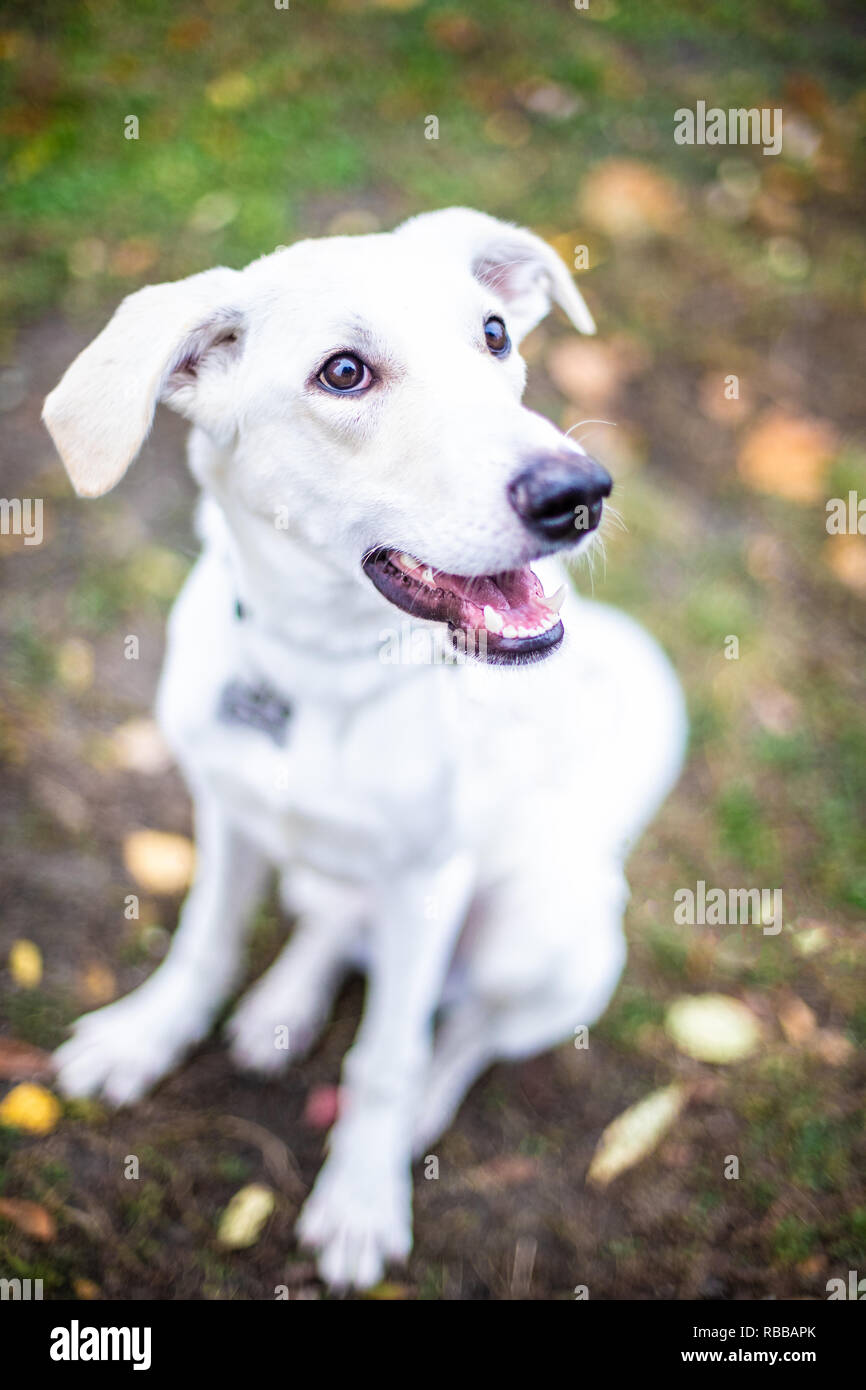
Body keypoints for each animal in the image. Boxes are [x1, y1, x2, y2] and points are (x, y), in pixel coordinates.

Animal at [44, 208, 686, 1289]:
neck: (324, 673)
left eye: (494, 336)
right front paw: (147, 1035)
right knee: (336, 925)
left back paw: (418, 1105)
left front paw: (358, 1197)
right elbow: (204, 942)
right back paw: (283, 1005)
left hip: (541, 928)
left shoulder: (429, 882)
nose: (580, 493)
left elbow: (385, 1055)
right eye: (343, 373)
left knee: (467, 1029)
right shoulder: (226, 813)